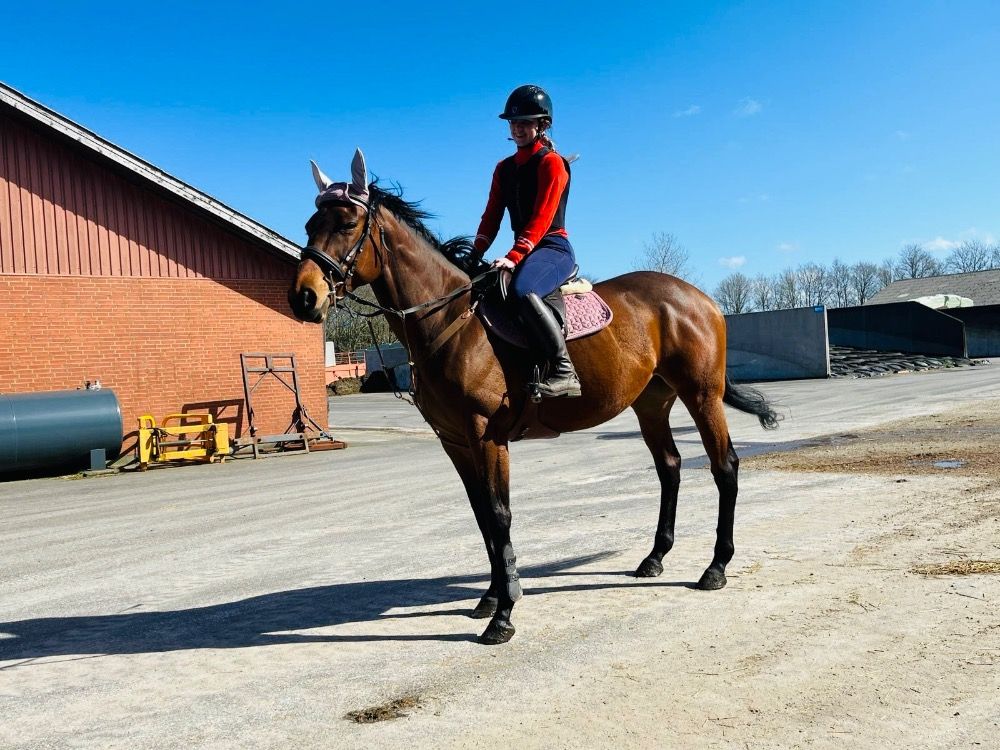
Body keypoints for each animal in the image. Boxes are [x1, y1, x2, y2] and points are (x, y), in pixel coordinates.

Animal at [288, 149, 779, 645]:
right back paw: (654, 557)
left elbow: (499, 514)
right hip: (652, 403)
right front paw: (491, 596)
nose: (304, 297)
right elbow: (482, 515)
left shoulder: (486, 435)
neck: (451, 319)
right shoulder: (455, 441)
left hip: (701, 395)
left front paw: (503, 614)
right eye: (311, 224)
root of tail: (700, 298)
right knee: (670, 468)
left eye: (348, 223)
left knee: (724, 467)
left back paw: (716, 566)